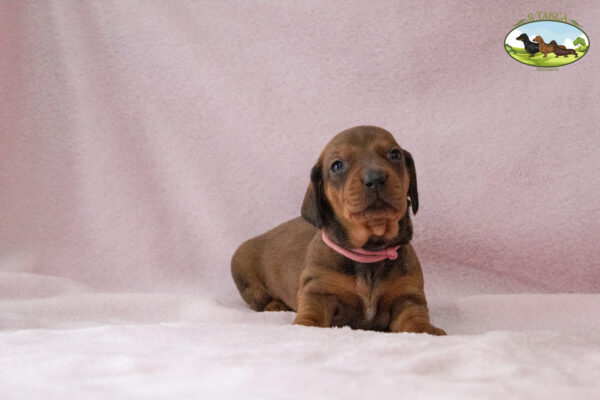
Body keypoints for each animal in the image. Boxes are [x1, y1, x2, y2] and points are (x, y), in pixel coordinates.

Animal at [231, 126, 446, 335]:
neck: (369, 252)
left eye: (395, 154)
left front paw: (426, 330)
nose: (375, 178)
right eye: (337, 165)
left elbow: (414, 318)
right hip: (242, 266)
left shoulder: (407, 294)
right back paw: (275, 305)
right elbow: (312, 314)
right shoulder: (318, 290)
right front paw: (304, 325)